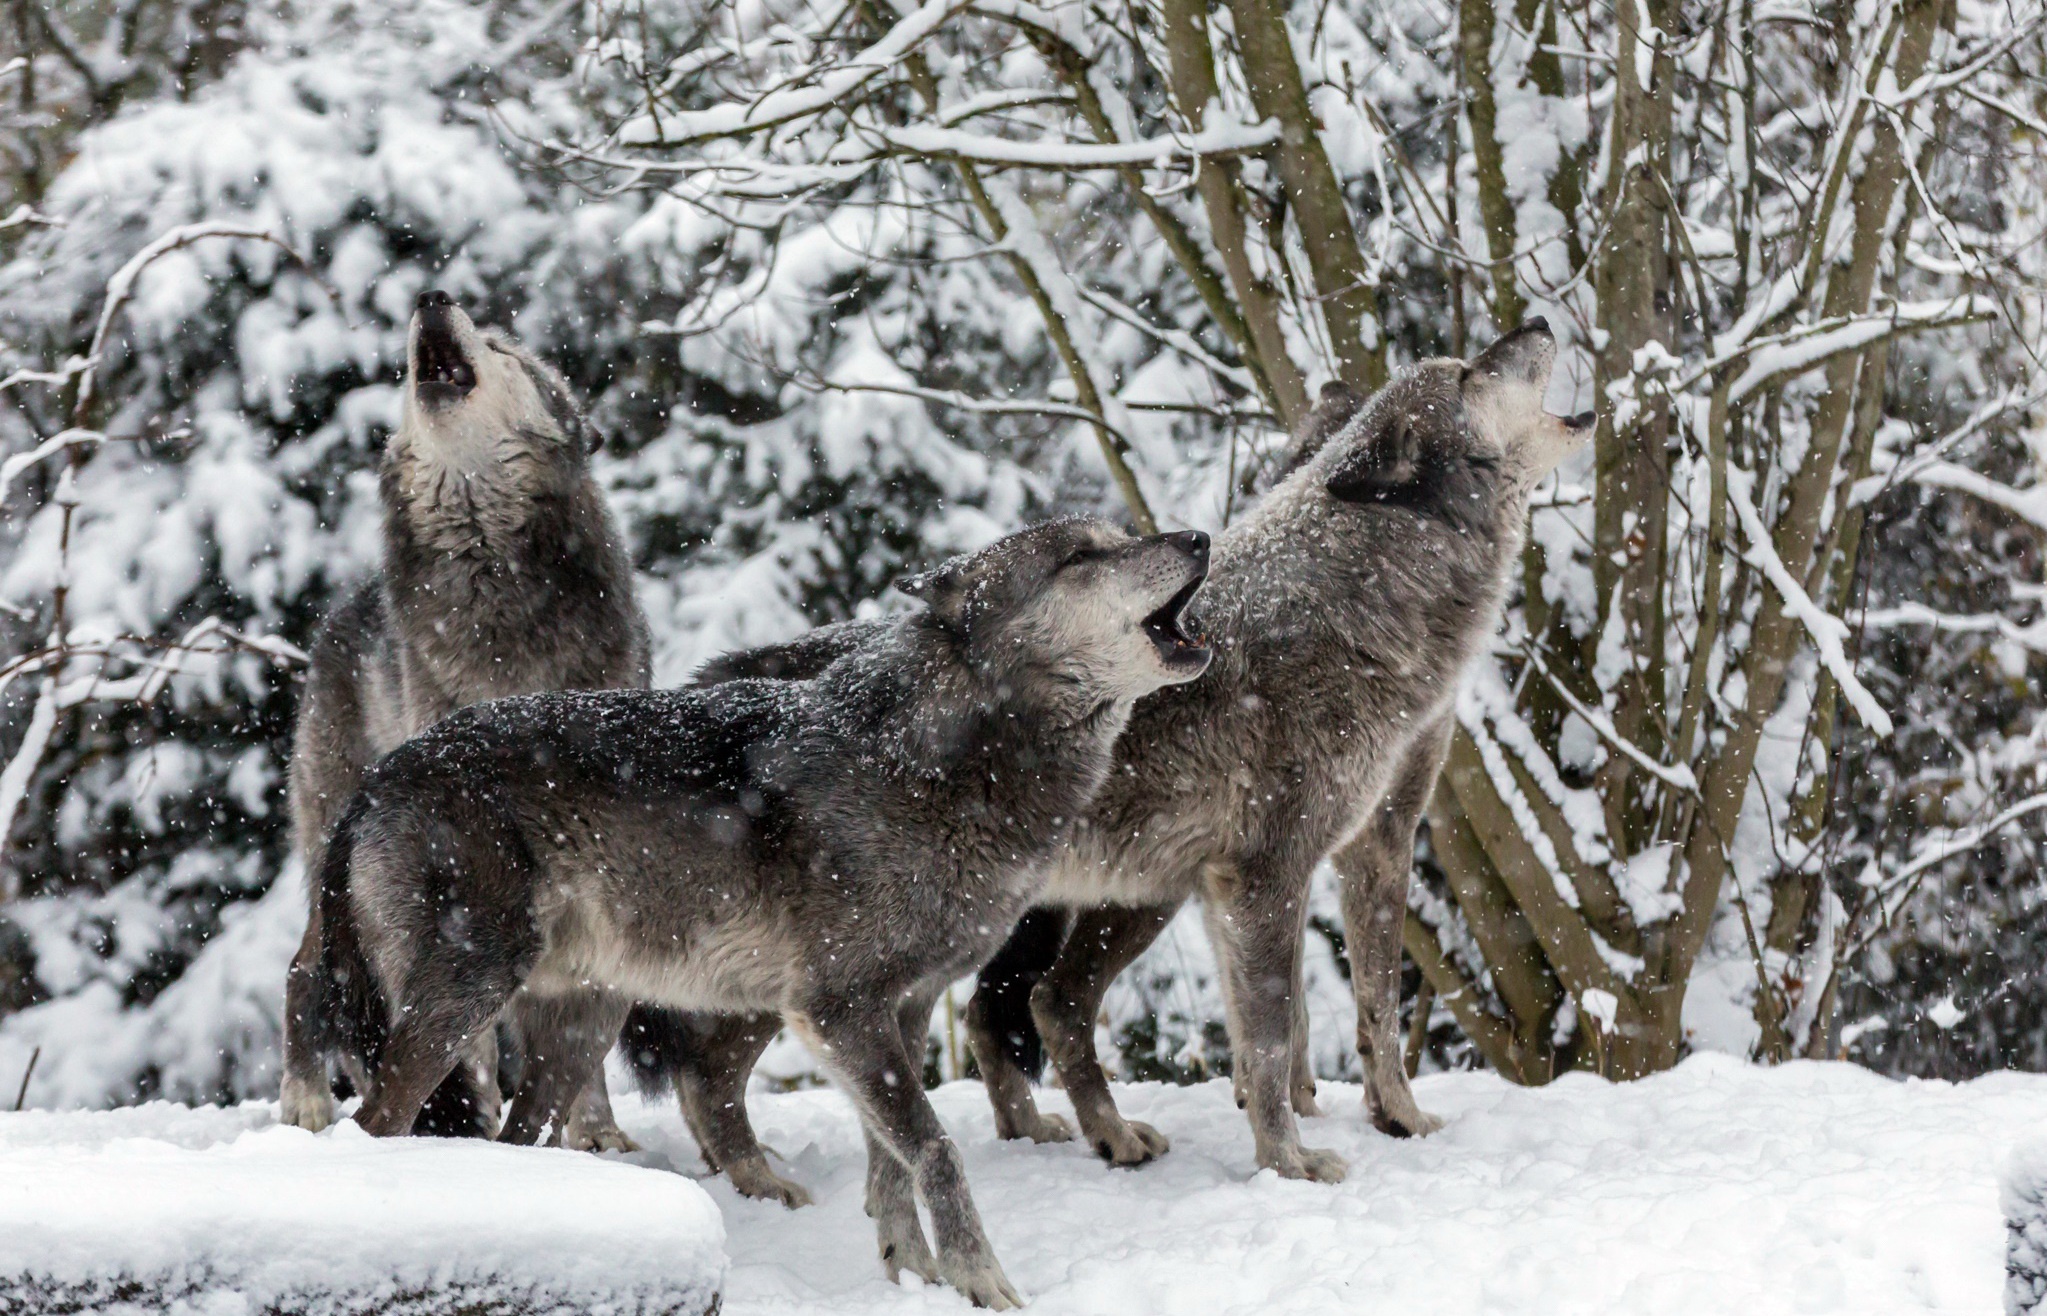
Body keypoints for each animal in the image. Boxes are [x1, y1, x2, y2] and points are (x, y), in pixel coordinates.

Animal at [278, 288, 646, 1146]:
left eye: (506, 349)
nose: (431, 296)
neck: (489, 575)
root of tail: (340, 612)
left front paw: (594, 1133)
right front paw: (474, 1120)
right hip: (332, 837)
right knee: (308, 968)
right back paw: (305, 1100)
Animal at [317, 515, 1203, 1309]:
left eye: (1124, 533)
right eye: (1080, 555)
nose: (1195, 537)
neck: (928, 761)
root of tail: (377, 779)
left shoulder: (903, 1008)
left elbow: (892, 1164)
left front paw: (911, 1275)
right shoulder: (839, 1009)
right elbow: (935, 1148)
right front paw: (980, 1281)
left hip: (584, 1029)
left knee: (523, 1133)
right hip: (470, 997)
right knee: (374, 1121)